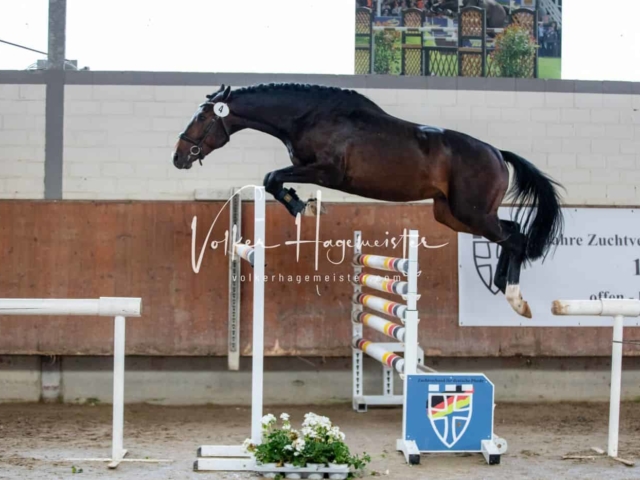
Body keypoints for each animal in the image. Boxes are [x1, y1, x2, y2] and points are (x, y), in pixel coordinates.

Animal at [171, 83, 564, 318]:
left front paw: (302, 206)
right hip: (454, 214)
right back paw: (500, 283)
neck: (307, 116)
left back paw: (515, 298)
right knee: (511, 232)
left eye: (203, 116)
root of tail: (497, 152)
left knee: (516, 239)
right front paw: (302, 204)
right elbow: (274, 179)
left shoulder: (326, 172)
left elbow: (272, 177)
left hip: (472, 212)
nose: (178, 157)